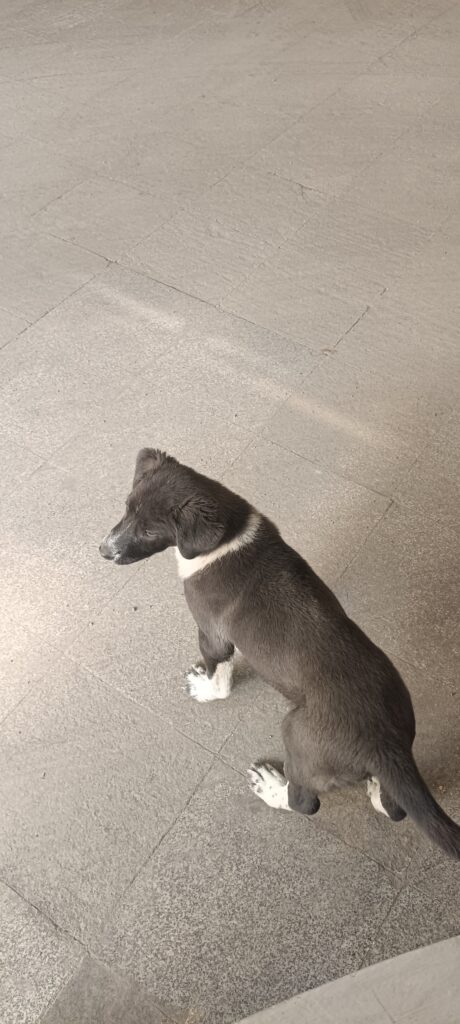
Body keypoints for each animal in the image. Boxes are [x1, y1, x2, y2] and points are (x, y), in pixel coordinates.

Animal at [100, 448, 460, 859]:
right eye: (126, 507)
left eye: (149, 532)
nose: (103, 551)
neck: (229, 534)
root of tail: (385, 745)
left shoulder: (212, 633)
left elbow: (219, 676)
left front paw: (204, 689)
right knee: (394, 807)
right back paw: (375, 789)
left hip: (298, 736)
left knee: (306, 802)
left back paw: (271, 786)